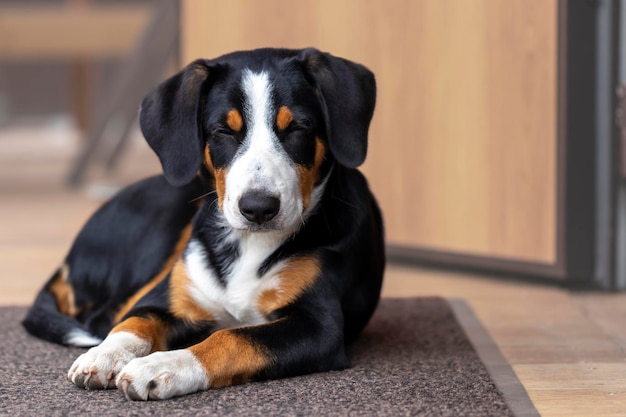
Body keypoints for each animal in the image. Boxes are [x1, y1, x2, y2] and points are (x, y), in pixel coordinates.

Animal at [23, 46, 386, 400]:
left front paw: (160, 366)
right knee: (105, 315)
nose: (258, 208)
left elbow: (231, 337)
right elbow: (134, 322)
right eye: (223, 130)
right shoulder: (165, 298)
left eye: (298, 127)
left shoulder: (318, 325)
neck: (248, 244)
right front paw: (104, 355)